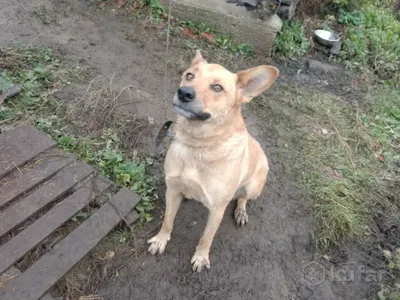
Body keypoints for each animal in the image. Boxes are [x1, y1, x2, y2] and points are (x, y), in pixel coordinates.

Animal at [147, 51, 278, 272]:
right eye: (189, 75)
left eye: (217, 87)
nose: (184, 93)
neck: (198, 144)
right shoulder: (172, 190)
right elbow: (167, 221)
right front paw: (160, 240)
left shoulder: (217, 209)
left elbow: (206, 237)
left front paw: (201, 257)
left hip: (252, 187)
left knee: (243, 197)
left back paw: (241, 211)